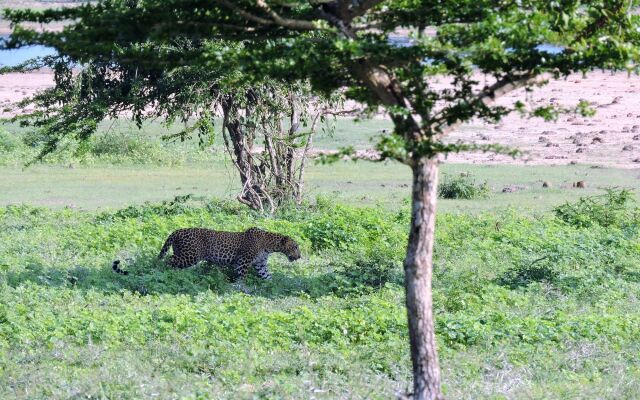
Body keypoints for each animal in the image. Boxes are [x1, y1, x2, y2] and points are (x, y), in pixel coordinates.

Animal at [113, 227, 302, 280]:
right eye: (295, 247)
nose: (299, 256)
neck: (269, 244)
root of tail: (177, 230)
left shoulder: (260, 264)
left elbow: (267, 276)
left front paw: (275, 285)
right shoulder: (243, 261)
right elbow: (241, 276)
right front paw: (239, 289)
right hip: (189, 256)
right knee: (168, 261)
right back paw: (163, 273)